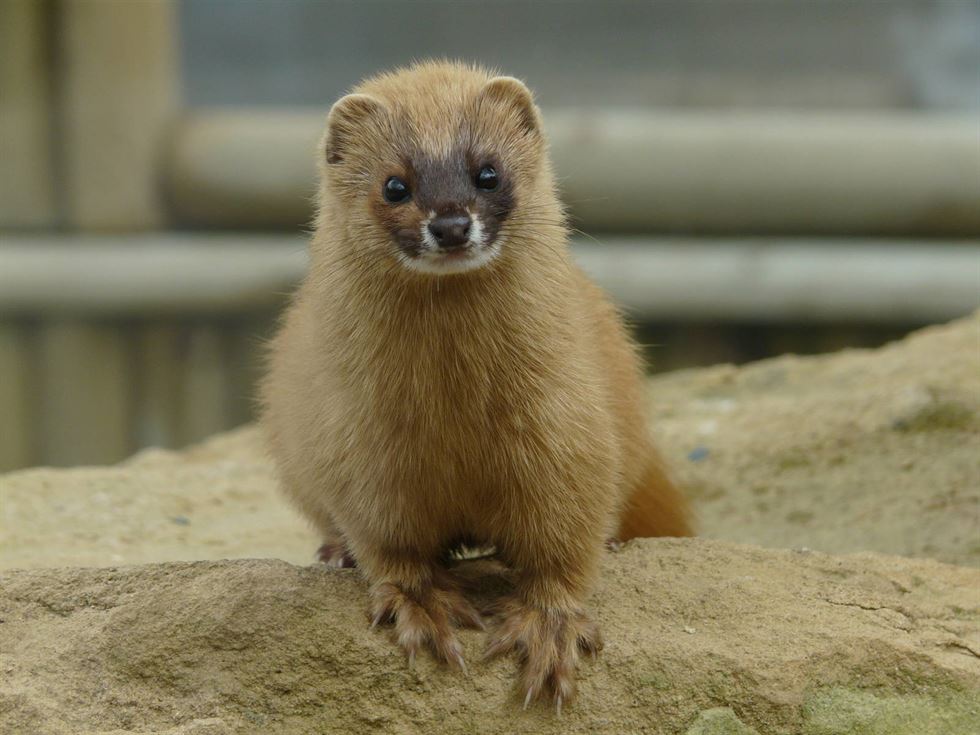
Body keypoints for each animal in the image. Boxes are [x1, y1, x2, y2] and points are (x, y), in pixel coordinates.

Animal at [258, 61, 688, 708]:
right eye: (394, 185)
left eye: (488, 172)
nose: (452, 224)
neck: (455, 413)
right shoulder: (362, 447)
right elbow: (389, 542)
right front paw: (422, 606)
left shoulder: (569, 429)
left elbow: (566, 537)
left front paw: (548, 629)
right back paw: (335, 552)